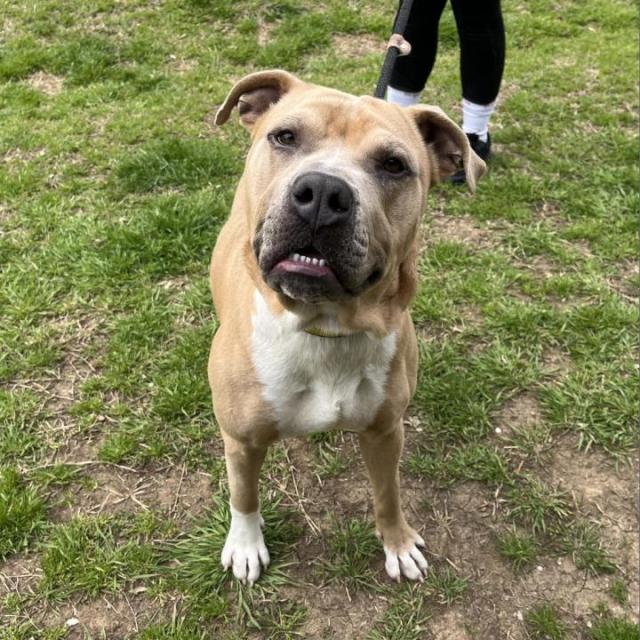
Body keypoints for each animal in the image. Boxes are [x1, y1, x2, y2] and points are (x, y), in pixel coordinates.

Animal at [210, 70, 484, 584]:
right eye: (285, 137)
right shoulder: (241, 441)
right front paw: (245, 544)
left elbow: (388, 493)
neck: (325, 327)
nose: (322, 192)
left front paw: (397, 542)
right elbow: (244, 495)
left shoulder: (386, 431)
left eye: (394, 165)